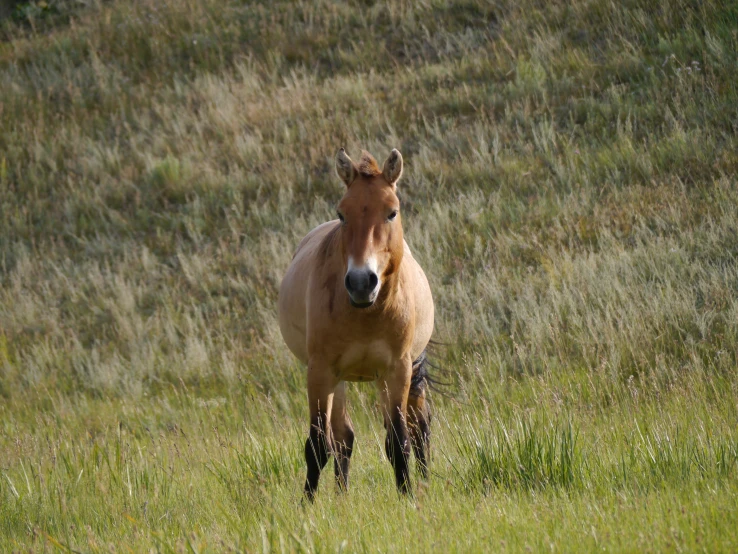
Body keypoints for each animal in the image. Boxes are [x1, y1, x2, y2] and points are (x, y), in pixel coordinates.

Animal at [278, 148, 434, 500]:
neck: (366, 314)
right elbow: (317, 445)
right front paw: (306, 505)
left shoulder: (397, 371)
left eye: (392, 212)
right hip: (337, 379)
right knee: (342, 437)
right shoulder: (320, 371)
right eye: (342, 214)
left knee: (419, 428)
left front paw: (408, 498)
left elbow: (399, 442)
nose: (362, 282)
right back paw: (341, 496)